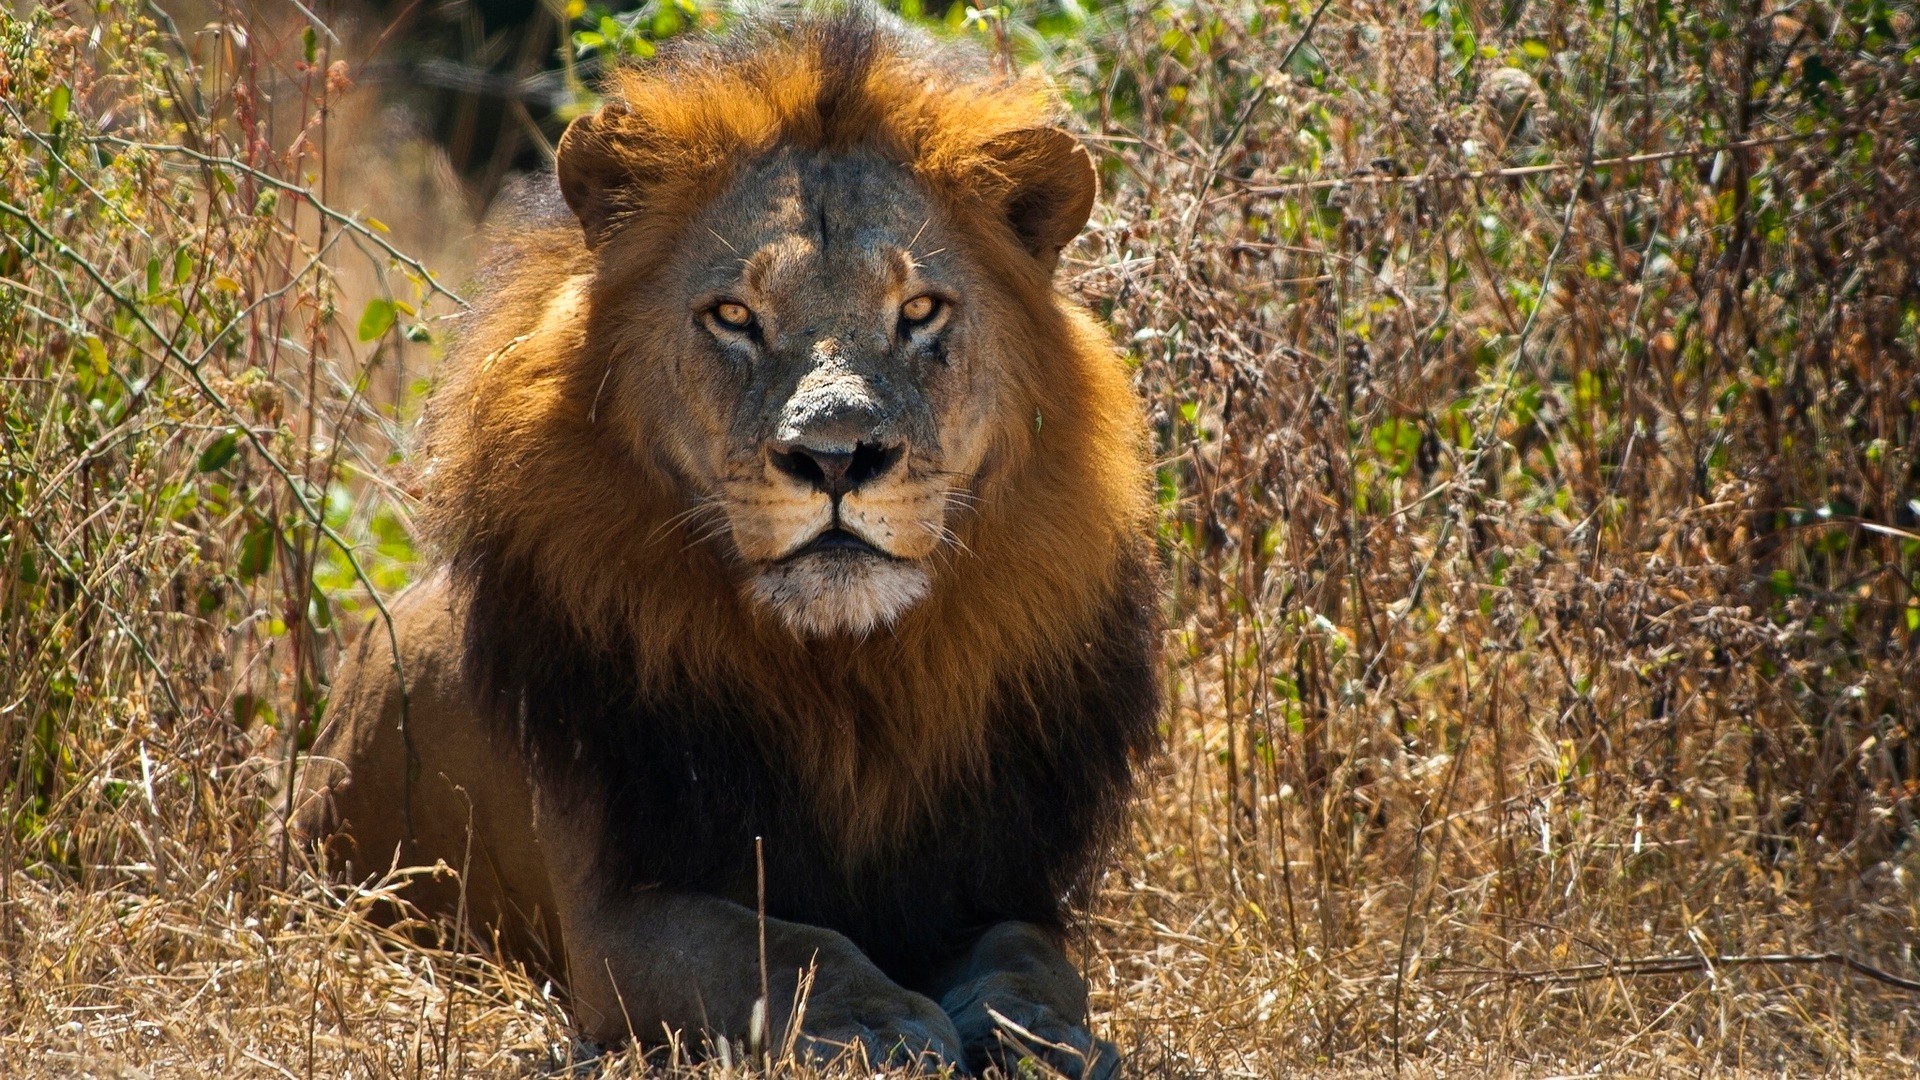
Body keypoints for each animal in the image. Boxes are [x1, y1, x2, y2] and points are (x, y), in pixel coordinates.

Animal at [291, 10, 1159, 1076]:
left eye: (919, 311)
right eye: (735, 317)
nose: (836, 456)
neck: (854, 683)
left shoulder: (995, 877)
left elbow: (1029, 959)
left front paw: (1042, 1033)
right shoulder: (617, 915)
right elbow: (777, 947)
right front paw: (881, 1025)